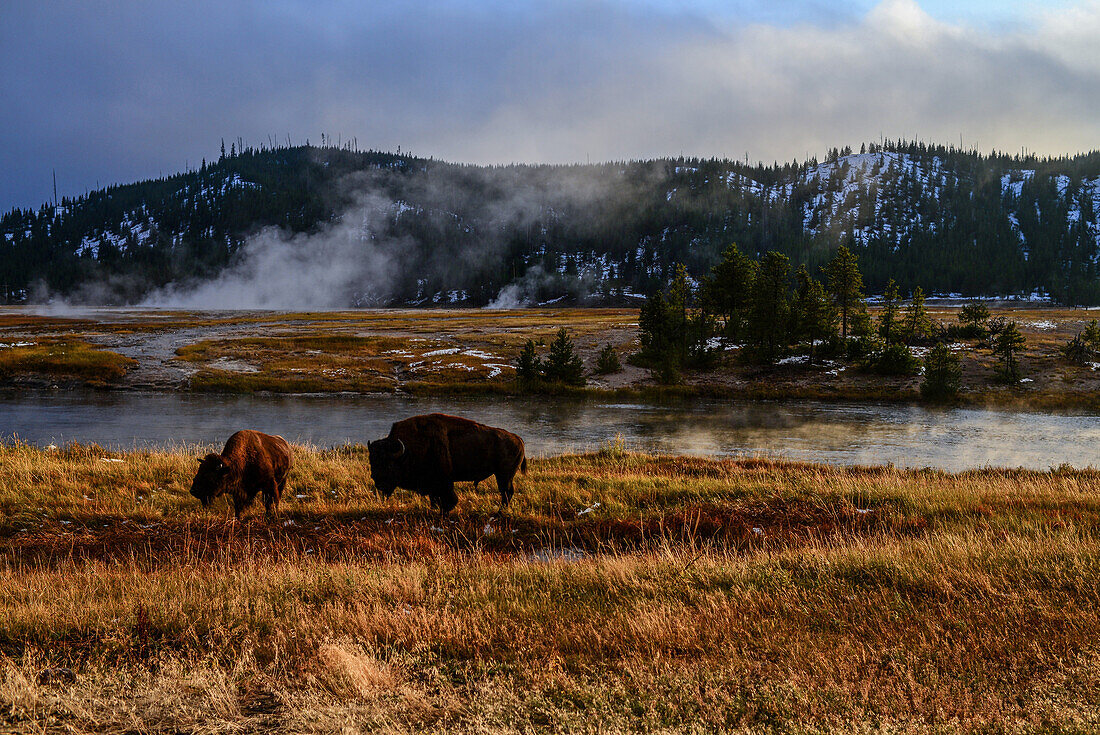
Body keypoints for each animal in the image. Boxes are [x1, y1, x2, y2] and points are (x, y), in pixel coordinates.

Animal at [367, 413, 525, 517]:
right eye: (371, 461)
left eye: (388, 464)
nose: (378, 483)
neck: (406, 451)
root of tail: (517, 438)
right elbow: (436, 498)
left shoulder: (444, 481)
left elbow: (449, 499)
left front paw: (444, 512)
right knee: (507, 492)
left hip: (503, 475)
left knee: (506, 492)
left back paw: (499, 512)